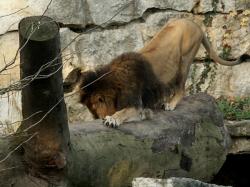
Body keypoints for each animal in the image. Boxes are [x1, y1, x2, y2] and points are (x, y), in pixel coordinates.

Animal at [63, 18, 249, 127]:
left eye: (95, 108)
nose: (97, 119)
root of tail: (195, 24)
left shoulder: (136, 106)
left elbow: (123, 112)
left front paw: (112, 119)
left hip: (185, 60)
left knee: (181, 88)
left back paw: (170, 104)